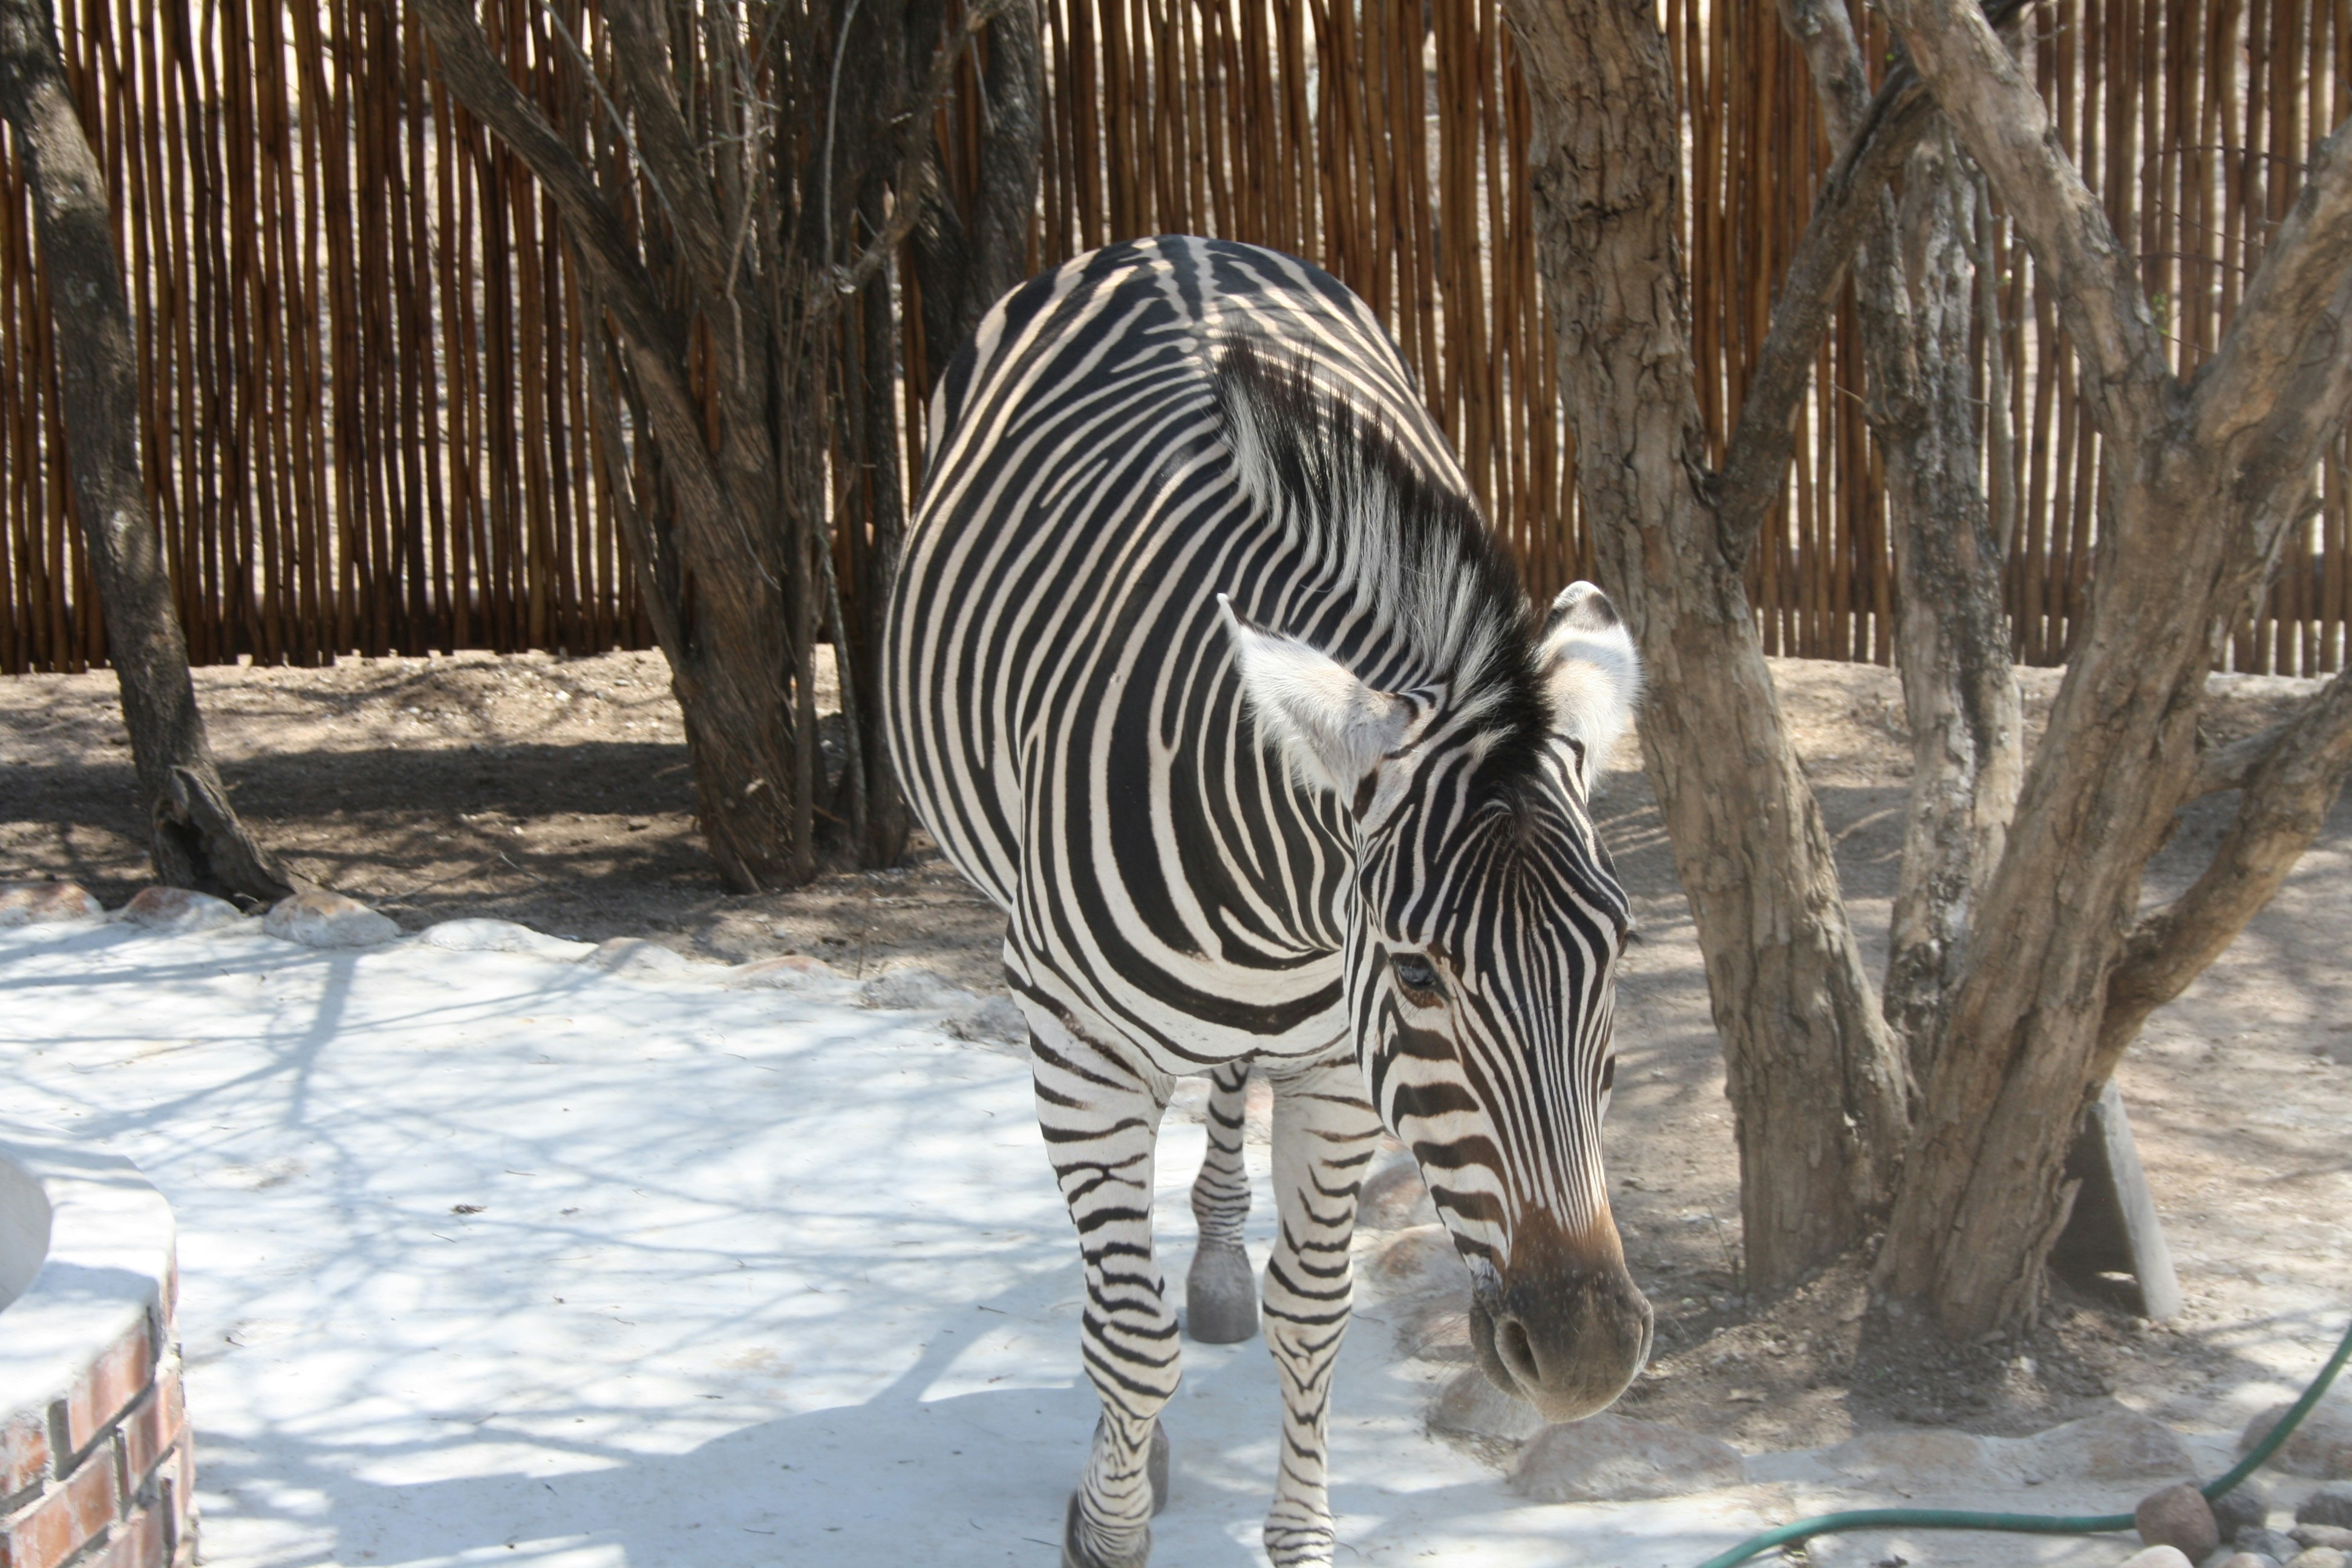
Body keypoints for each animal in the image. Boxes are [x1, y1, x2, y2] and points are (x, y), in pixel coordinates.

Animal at [883, 236, 1652, 1568]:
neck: (1280, 905)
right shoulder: (1078, 1046)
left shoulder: (1340, 1064)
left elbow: (1314, 1311)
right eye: (1418, 971)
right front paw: (1113, 1513)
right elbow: (1126, 1333)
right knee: (1114, 1282)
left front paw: (1296, 1533)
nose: (1585, 1360)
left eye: (1614, 952)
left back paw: (1213, 1272)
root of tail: (1170, 242)